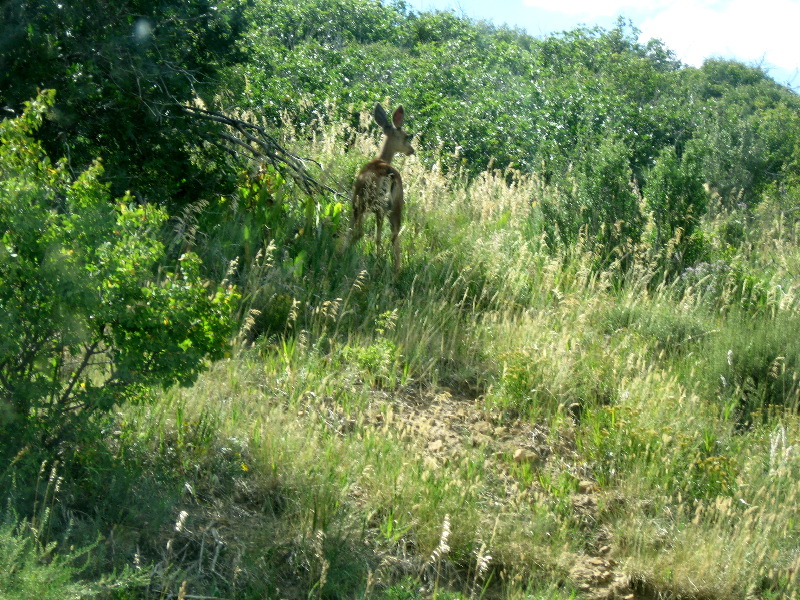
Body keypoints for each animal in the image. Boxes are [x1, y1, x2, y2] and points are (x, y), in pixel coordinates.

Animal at [351, 103, 415, 273]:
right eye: (406, 136)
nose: (412, 150)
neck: (381, 158)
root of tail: (389, 175)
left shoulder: (356, 200)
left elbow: (353, 228)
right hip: (397, 205)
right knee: (395, 235)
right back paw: (395, 270)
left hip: (374, 202)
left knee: (370, 234)